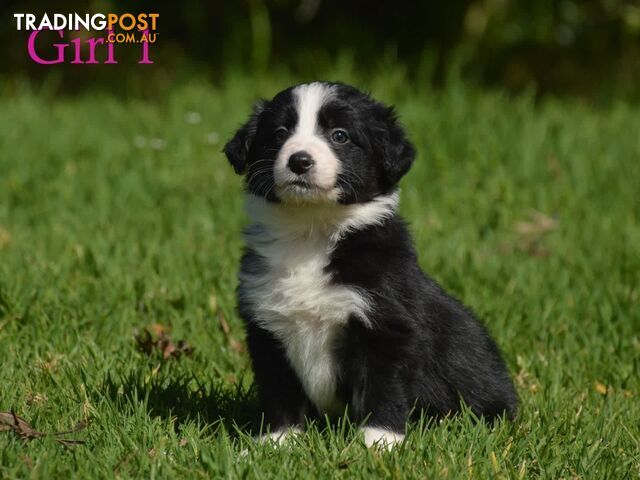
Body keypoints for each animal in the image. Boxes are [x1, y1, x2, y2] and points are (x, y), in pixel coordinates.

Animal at [222, 81, 516, 446]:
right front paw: (276, 441)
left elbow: (381, 386)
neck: (311, 233)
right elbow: (280, 390)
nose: (300, 161)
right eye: (279, 133)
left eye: (340, 135)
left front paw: (379, 442)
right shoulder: (267, 328)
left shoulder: (384, 324)